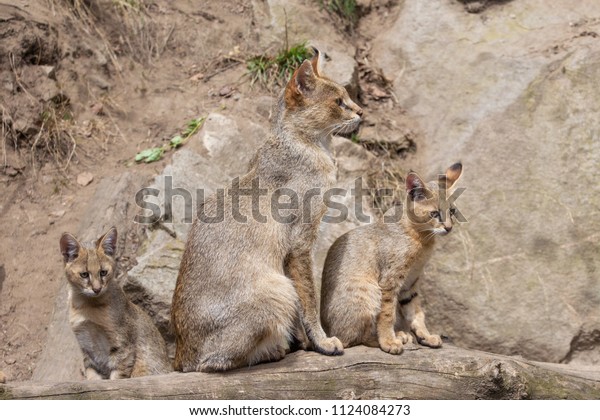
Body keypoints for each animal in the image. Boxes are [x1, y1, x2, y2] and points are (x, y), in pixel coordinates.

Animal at [60, 228, 171, 378]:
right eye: (84, 274)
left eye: (103, 272)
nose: (97, 289)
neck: (87, 307)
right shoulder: (88, 349)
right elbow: (93, 376)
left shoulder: (123, 347)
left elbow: (116, 376)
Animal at [322, 164, 462, 354]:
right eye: (434, 214)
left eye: (452, 211)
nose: (448, 228)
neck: (422, 239)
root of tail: (327, 330)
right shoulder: (390, 281)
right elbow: (387, 314)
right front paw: (388, 341)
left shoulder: (410, 283)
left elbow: (416, 312)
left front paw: (426, 336)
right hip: (369, 291)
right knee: (351, 339)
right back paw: (392, 337)